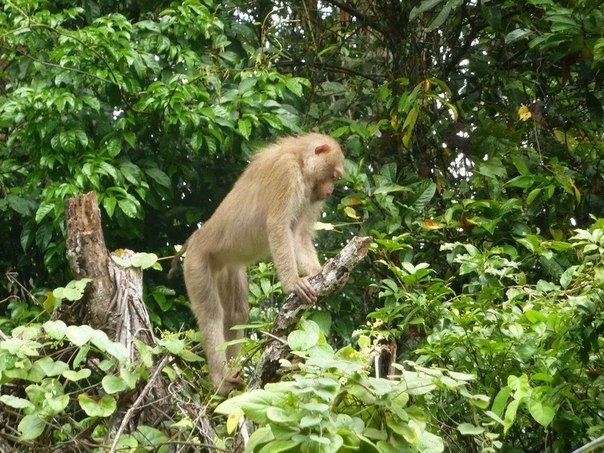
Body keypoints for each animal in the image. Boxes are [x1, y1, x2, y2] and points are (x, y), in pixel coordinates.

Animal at [172, 132, 346, 394]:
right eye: (333, 176)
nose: (329, 191)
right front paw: (293, 283)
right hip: (197, 262)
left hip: (228, 267)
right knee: (211, 313)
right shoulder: (287, 173)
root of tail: (196, 239)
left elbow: (298, 235)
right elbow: (278, 225)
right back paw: (220, 380)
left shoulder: (309, 194)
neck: (300, 160)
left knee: (236, 313)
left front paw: (320, 272)